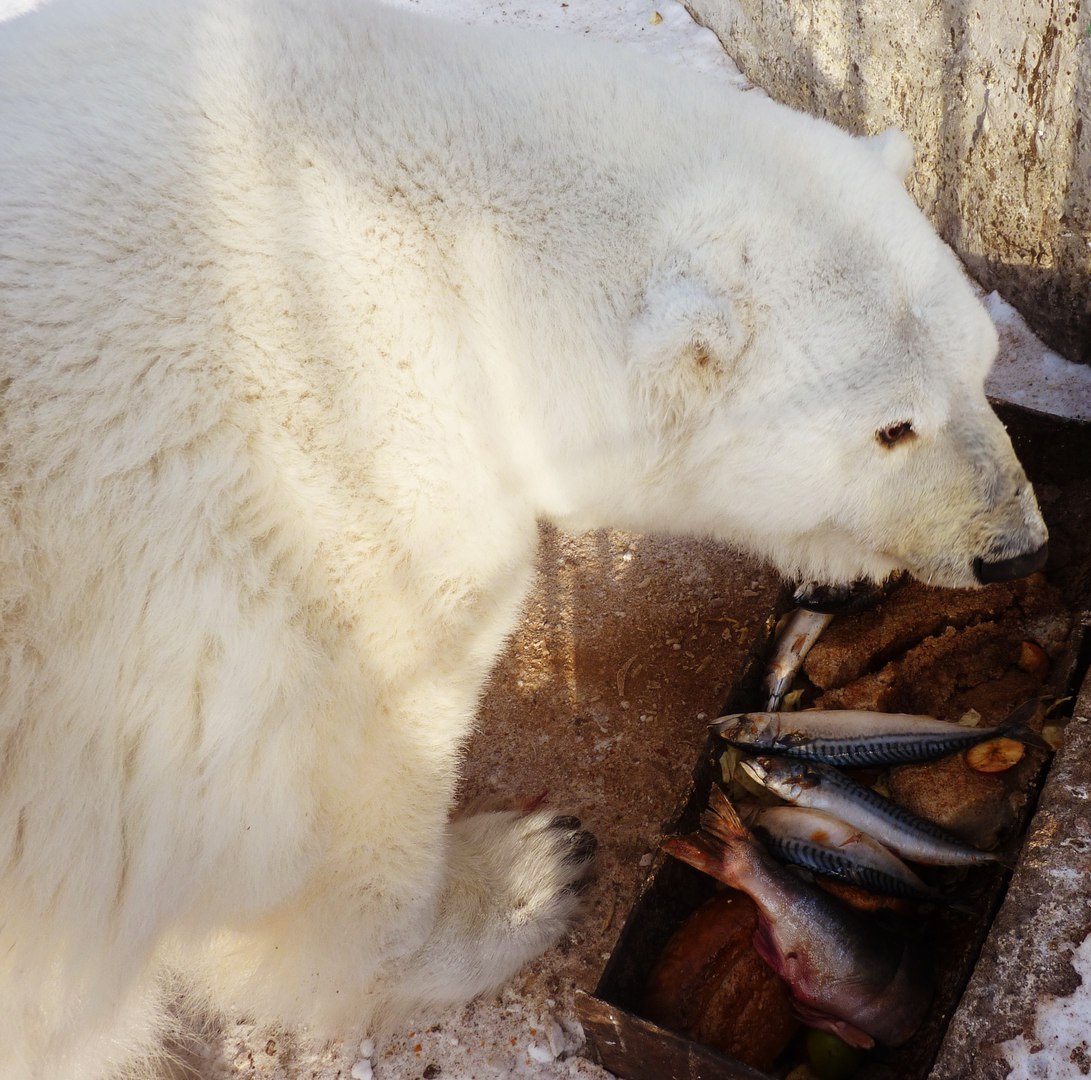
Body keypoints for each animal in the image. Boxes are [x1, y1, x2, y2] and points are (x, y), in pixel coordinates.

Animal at [0, 0, 1047, 1077]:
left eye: (980, 361)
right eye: (891, 426)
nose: (1015, 548)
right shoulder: (311, 528)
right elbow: (343, 786)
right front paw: (528, 871)